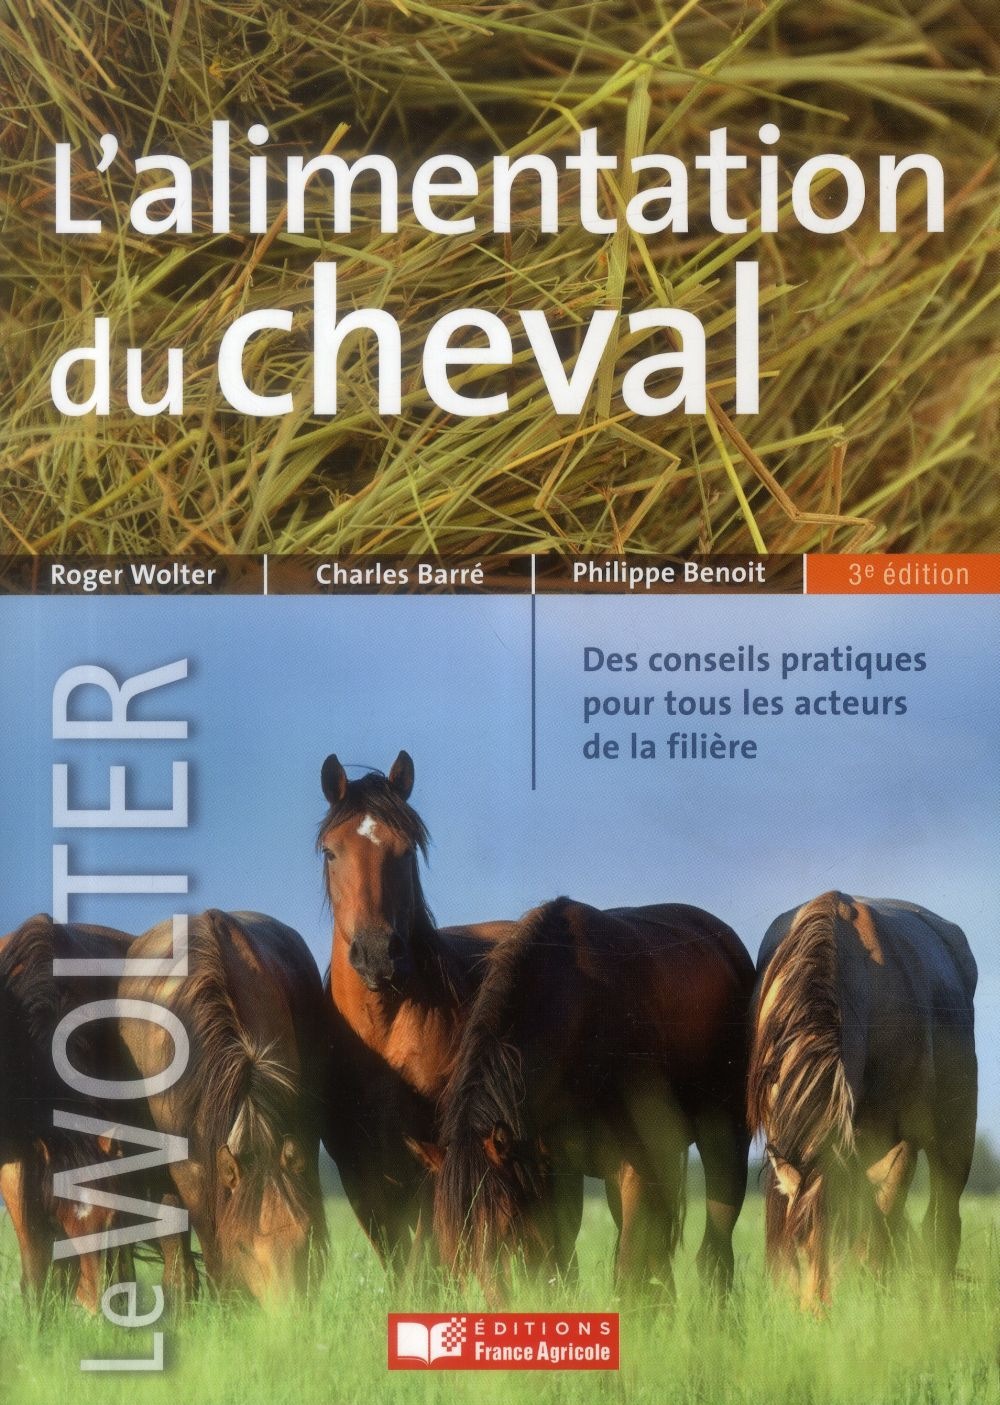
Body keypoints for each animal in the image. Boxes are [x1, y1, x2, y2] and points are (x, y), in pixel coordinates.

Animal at [317, 751, 513, 1269]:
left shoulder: (432, 1161)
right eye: (330, 852)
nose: (377, 954)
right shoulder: (359, 1172)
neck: (382, 1034)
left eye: (406, 851)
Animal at [417, 896, 755, 1299]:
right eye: (450, 1243)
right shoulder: (553, 1171)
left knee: (715, 1249)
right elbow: (563, 1264)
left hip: (724, 1141)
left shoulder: (634, 1167)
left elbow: (627, 1270)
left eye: (505, 1225)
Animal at [747, 892, 978, 1311]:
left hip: (955, 1137)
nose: (818, 1315)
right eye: (801, 1245)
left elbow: (876, 1234)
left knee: (941, 1228)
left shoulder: (901, 1142)